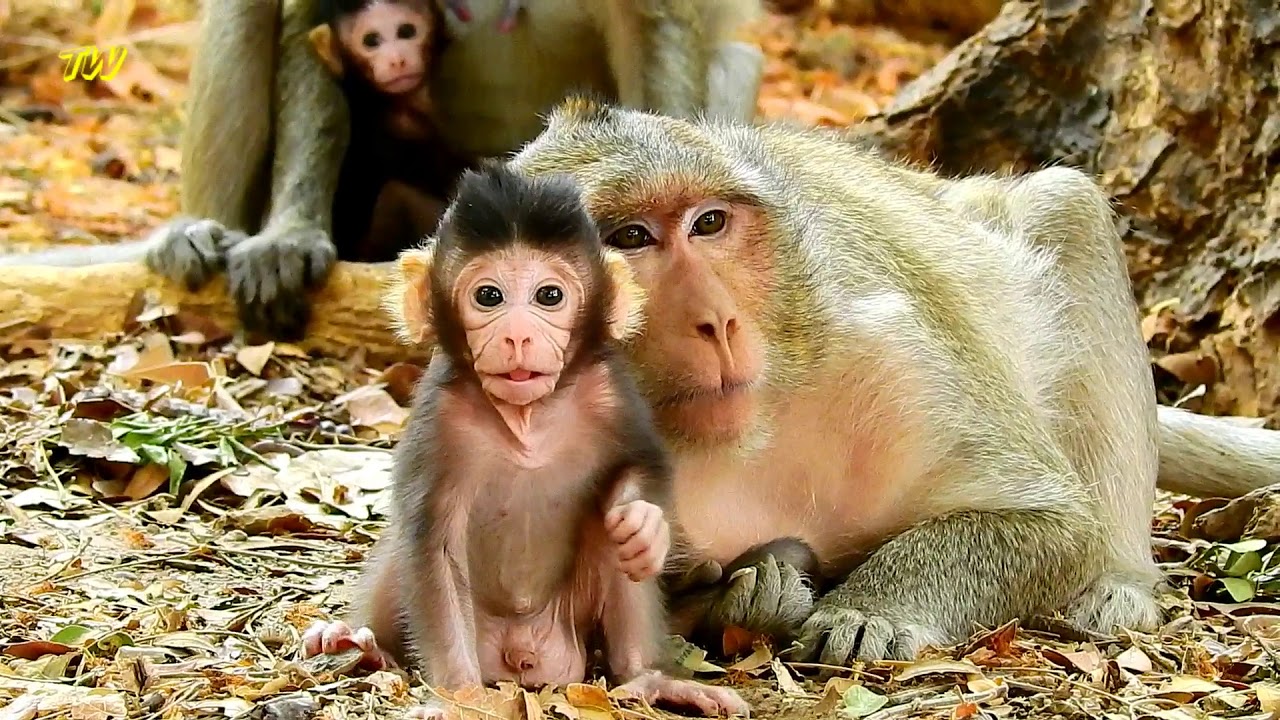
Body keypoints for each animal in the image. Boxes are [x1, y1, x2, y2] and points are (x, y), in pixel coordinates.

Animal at [299, 163, 749, 718]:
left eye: (549, 296)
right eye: (488, 296)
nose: (516, 336)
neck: (527, 420)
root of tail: (523, 654)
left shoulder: (609, 391)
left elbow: (641, 466)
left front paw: (642, 524)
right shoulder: (439, 418)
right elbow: (432, 545)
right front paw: (459, 698)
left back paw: (650, 678)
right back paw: (363, 645)